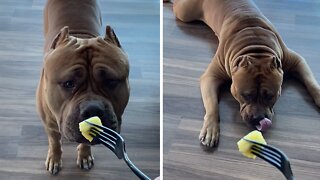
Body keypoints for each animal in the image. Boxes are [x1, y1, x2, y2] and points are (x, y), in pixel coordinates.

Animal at [36, 0, 129, 174]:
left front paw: (85, 155)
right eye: (68, 83)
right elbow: (54, 142)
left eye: (111, 81)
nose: (93, 109)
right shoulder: (50, 125)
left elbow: (86, 141)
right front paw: (54, 158)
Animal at [174, 0, 318, 148]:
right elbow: (212, 104)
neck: (255, 48)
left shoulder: (296, 60)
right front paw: (210, 129)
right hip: (184, 13)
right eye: (245, 95)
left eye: (270, 96)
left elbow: (311, 83)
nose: (258, 118)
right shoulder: (211, 77)